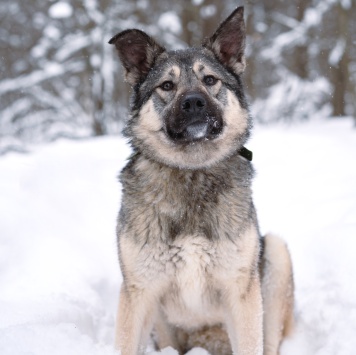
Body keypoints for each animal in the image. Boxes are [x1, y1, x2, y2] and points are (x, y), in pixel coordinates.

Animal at [110, 6, 294, 355]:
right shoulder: (138, 293)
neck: (191, 172)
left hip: (276, 254)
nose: (193, 102)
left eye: (210, 80)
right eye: (167, 85)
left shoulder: (241, 293)